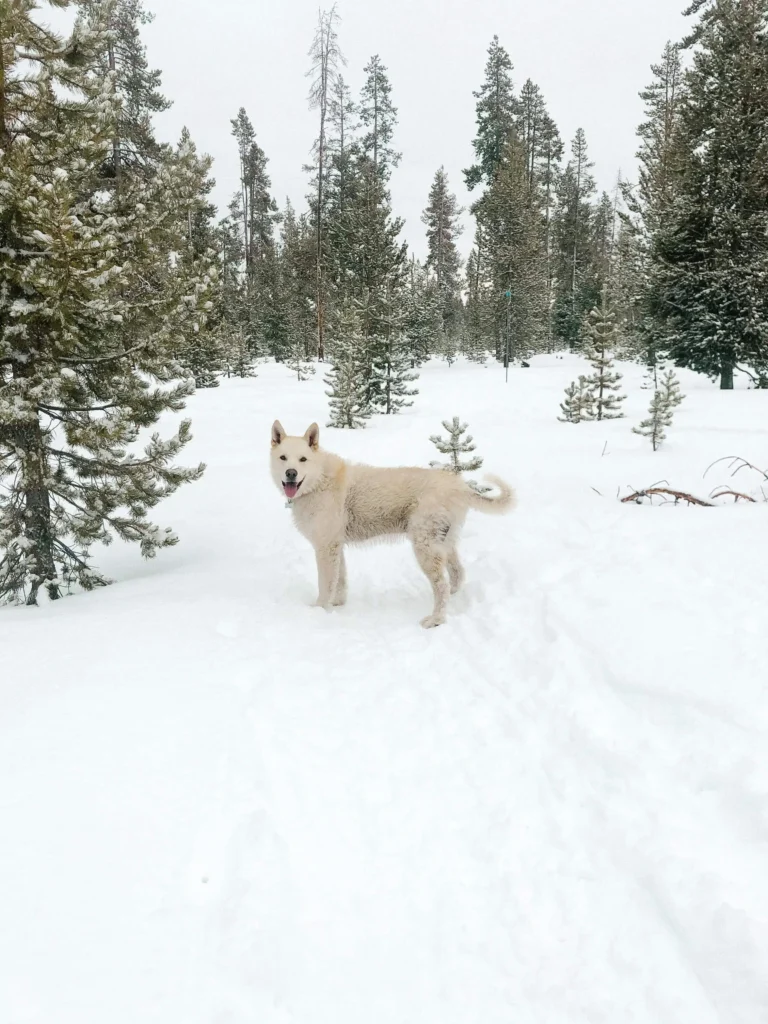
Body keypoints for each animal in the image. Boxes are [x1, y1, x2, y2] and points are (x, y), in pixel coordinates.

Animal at [270, 419, 518, 626]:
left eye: (303, 459)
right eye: (283, 458)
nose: (291, 473)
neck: (318, 480)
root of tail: (460, 486)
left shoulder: (325, 548)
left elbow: (325, 584)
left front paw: (319, 610)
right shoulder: (335, 546)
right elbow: (339, 581)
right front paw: (337, 604)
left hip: (425, 547)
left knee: (441, 586)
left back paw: (435, 620)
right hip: (443, 542)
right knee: (456, 574)